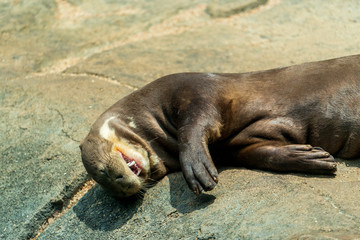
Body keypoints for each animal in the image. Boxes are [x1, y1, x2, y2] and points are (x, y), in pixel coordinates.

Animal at [80, 54, 360, 197]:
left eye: (104, 172)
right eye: (108, 186)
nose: (123, 187)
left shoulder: (196, 92)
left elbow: (195, 128)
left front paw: (197, 169)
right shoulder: (237, 146)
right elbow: (262, 153)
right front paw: (309, 157)